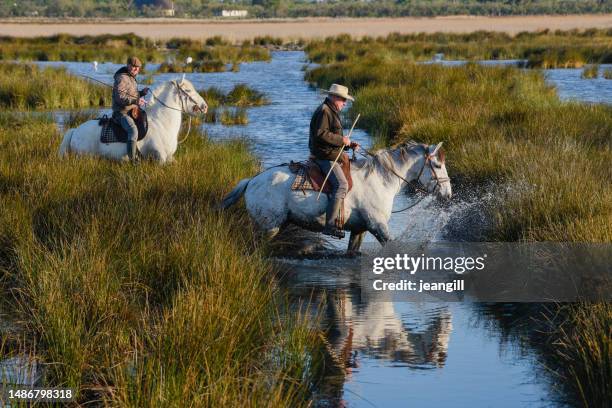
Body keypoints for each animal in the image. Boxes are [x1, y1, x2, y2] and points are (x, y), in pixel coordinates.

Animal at [59, 78, 208, 163]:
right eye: (188, 90)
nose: (205, 106)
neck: (161, 123)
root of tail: (75, 131)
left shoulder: (170, 158)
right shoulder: (159, 158)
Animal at [222, 142, 452, 253]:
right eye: (437, 165)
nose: (448, 194)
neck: (380, 180)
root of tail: (251, 181)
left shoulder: (360, 229)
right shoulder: (378, 226)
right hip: (268, 227)